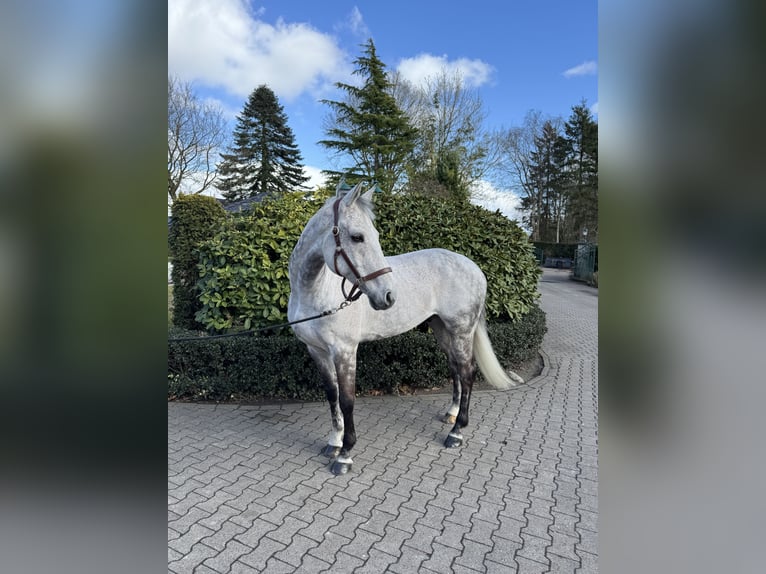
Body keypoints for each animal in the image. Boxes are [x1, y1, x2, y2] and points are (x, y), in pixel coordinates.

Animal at [287, 181, 524, 475]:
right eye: (357, 237)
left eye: (374, 235)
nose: (389, 296)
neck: (315, 292)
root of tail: (474, 268)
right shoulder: (317, 351)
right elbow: (332, 395)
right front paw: (334, 442)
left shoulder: (345, 351)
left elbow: (347, 400)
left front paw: (345, 455)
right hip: (441, 329)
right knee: (456, 369)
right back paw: (451, 415)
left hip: (461, 330)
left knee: (467, 372)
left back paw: (456, 432)